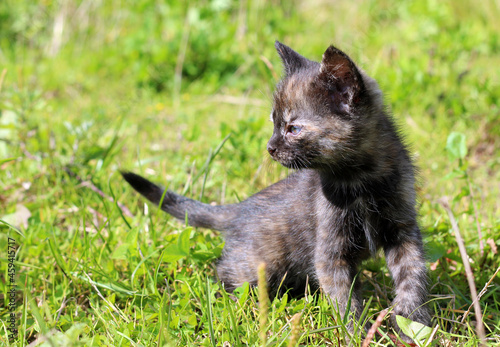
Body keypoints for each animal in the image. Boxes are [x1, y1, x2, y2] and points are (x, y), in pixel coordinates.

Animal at [121, 41, 430, 342]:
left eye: (293, 128)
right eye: (274, 122)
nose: (270, 148)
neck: (360, 180)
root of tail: (238, 209)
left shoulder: (403, 230)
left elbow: (413, 276)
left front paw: (413, 322)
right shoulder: (330, 252)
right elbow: (343, 297)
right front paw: (358, 333)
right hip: (254, 267)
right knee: (226, 273)